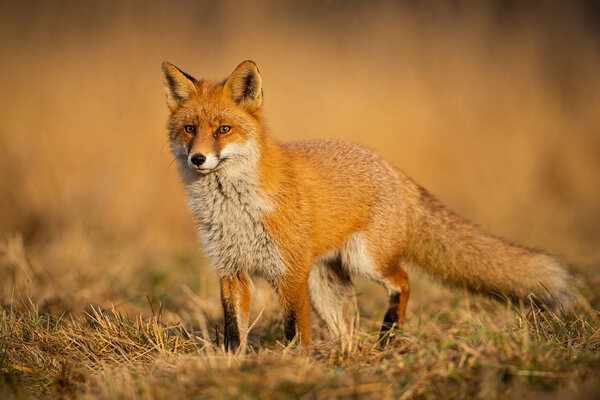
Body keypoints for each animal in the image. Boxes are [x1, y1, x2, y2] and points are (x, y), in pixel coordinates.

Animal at [162, 61, 576, 352]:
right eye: (190, 129)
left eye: (223, 130)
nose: (198, 159)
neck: (234, 210)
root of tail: (389, 166)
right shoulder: (231, 270)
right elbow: (234, 333)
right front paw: (233, 365)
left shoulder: (290, 272)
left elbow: (296, 330)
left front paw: (296, 364)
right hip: (327, 284)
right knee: (348, 327)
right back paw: (349, 358)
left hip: (365, 261)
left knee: (403, 281)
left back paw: (388, 338)